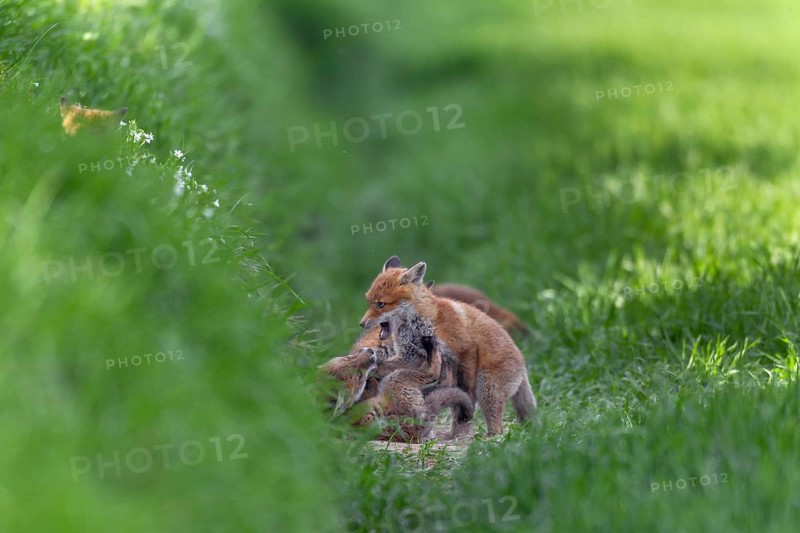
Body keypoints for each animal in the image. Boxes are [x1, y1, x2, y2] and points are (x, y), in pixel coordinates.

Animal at [359, 256, 537, 437]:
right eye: (369, 302)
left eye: (381, 304)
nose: (362, 324)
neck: (419, 325)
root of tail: (523, 365)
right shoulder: (410, 356)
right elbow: (381, 365)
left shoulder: (466, 349)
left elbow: (467, 393)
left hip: (486, 388)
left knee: (496, 427)